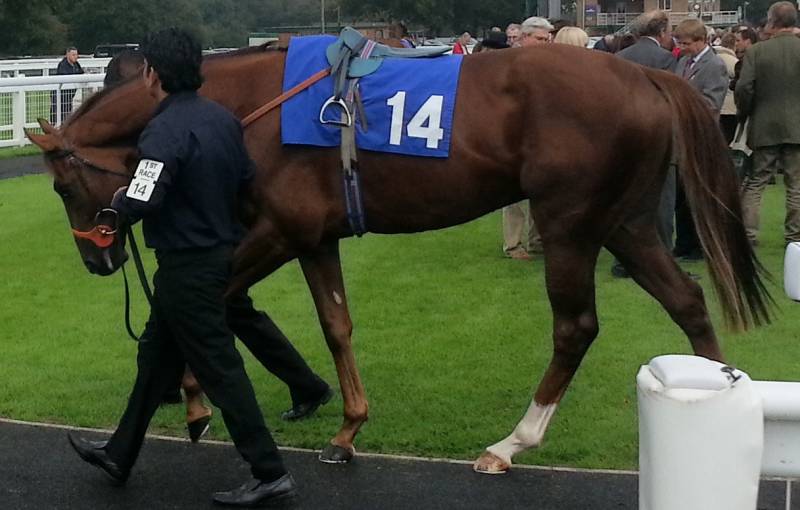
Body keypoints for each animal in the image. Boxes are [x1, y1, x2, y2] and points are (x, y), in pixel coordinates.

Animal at [26, 40, 771, 474]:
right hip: (626, 222)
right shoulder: (314, 237)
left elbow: (194, 307)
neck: (249, 105)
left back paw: (512, 442)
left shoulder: (279, 229)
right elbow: (336, 326)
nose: (97, 261)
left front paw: (191, 400)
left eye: (61, 186)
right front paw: (347, 429)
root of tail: (645, 74)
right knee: (687, 301)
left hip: (570, 223)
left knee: (575, 328)